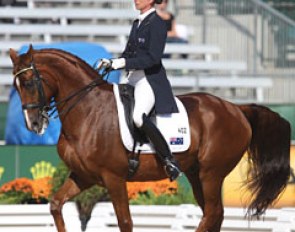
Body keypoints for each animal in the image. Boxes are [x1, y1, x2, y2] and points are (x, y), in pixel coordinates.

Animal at [9, 45, 292, 232]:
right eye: (16, 85)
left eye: (30, 81)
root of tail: (236, 108)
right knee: (214, 214)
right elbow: (56, 205)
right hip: (196, 173)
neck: (88, 111)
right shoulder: (84, 176)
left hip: (211, 173)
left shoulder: (113, 178)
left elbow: (125, 221)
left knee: (212, 213)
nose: (33, 124)